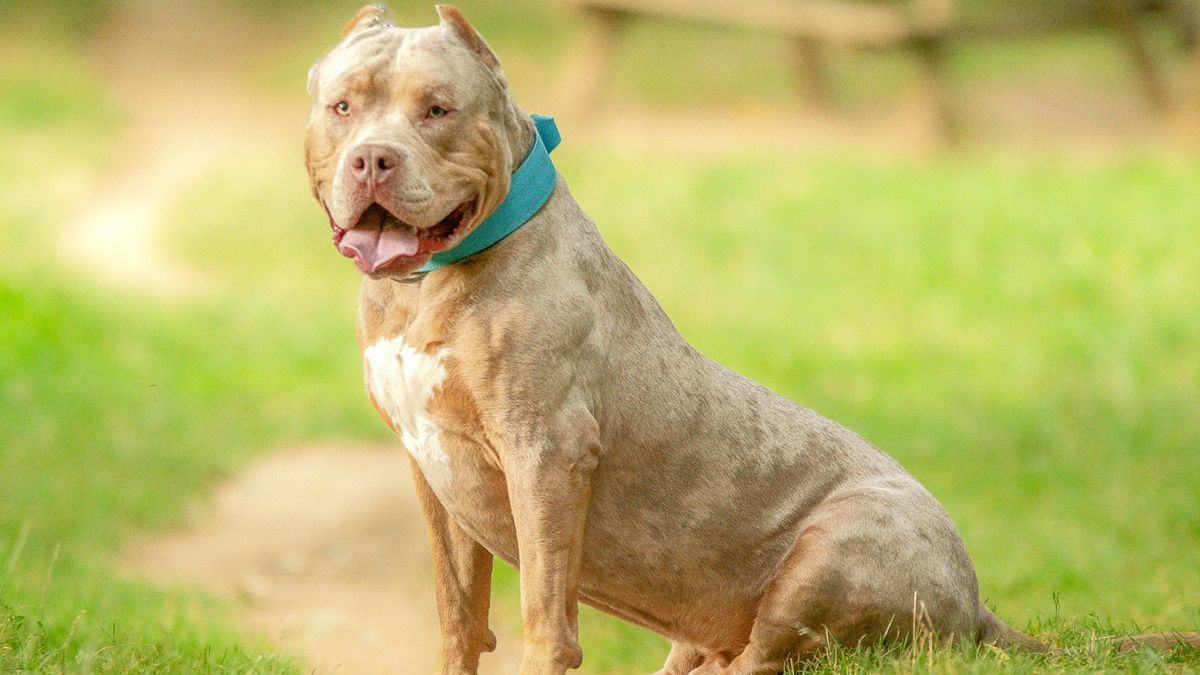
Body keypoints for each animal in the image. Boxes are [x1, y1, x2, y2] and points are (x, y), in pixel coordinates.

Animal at [304, 6, 1195, 672]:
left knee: (769, 654)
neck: (425, 288)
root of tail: (977, 603)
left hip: (834, 548)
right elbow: (459, 614)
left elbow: (544, 618)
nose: (374, 160)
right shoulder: (431, 466)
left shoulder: (546, 453)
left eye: (438, 110)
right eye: (343, 107)